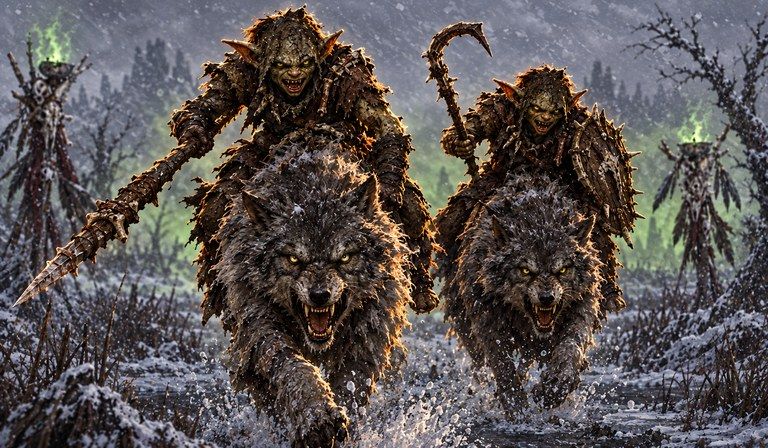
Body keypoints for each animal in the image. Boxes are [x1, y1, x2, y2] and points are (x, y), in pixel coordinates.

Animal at [212, 130, 411, 447]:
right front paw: (316, 418)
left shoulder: (368, 338)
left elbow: (351, 386)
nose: (320, 296)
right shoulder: (261, 328)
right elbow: (296, 370)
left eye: (344, 257)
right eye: (294, 259)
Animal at [442, 173, 604, 413]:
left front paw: (556, 386)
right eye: (526, 270)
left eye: (563, 270)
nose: (547, 298)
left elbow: (571, 347)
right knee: (481, 369)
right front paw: (515, 405)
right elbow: (503, 365)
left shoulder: (582, 307)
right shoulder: (488, 320)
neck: (538, 219)